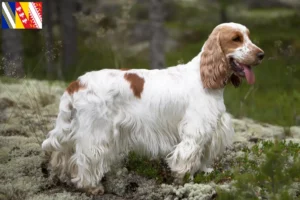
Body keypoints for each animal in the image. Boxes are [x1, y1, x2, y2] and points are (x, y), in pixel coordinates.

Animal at [41, 22, 262, 194]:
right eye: (236, 39)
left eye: (249, 37)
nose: (261, 54)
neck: (204, 77)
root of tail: (76, 83)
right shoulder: (195, 130)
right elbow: (187, 157)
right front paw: (185, 180)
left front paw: (203, 172)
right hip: (96, 131)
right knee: (86, 158)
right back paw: (91, 187)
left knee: (62, 154)